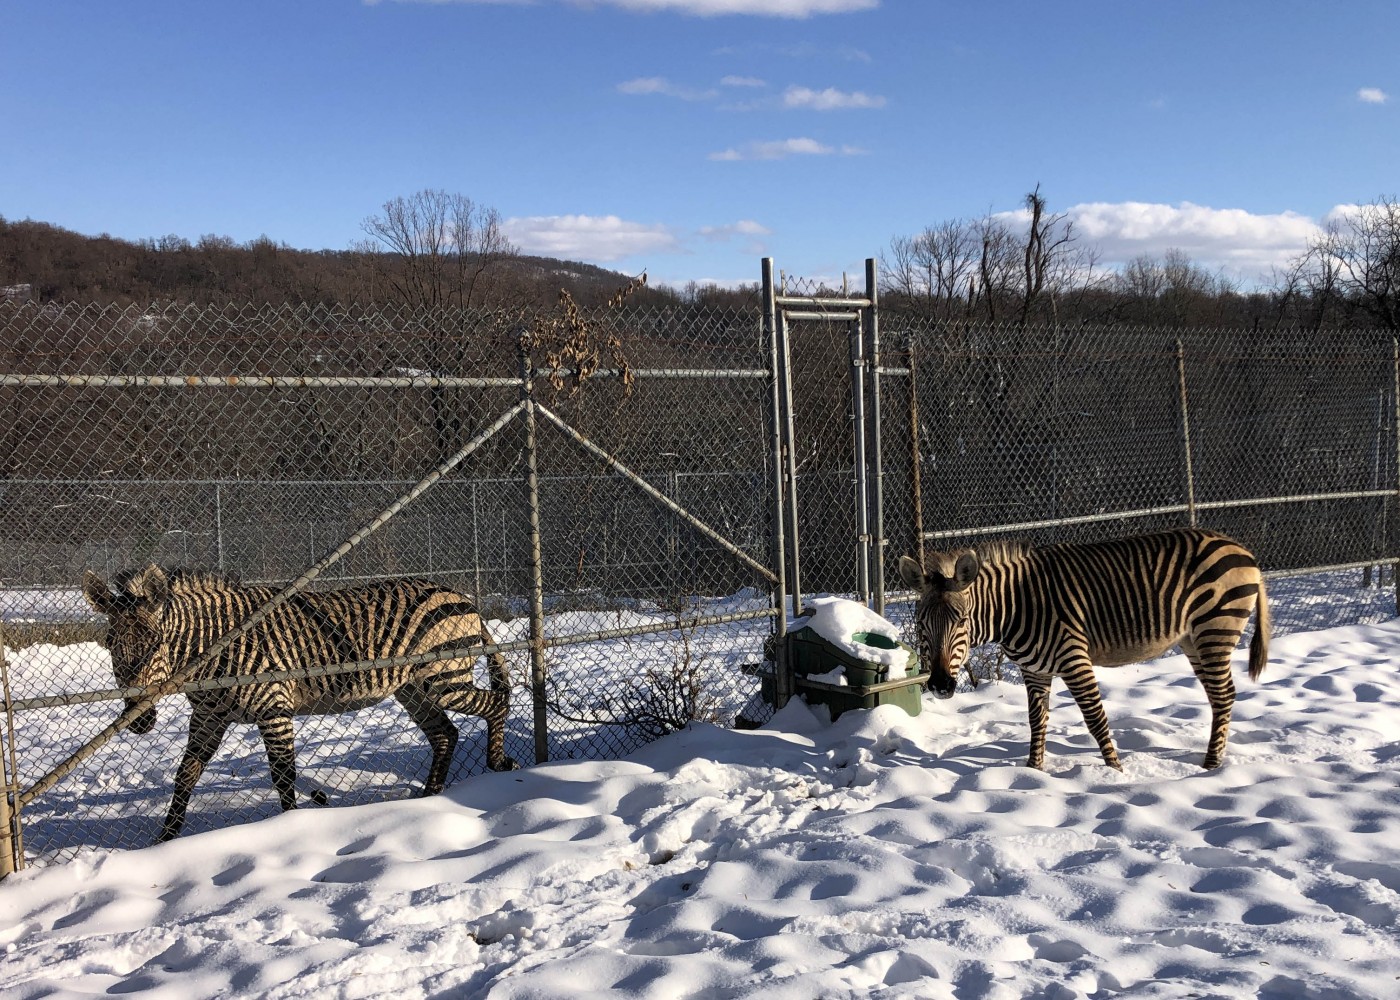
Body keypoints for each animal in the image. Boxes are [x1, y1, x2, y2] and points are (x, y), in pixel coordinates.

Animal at [81, 565, 520, 834]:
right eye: (110, 644)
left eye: (157, 643)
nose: (140, 721)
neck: (213, 647)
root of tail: (463, 597)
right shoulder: (209, 716)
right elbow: (185, 774)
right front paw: (166, 839)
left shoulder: (274, 708)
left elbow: (283, 775)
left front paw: (291, 827)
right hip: (412, 688)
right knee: (445, 733)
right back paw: (430, 799)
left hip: (445, 677)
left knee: (494, 704)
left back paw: (498, 763)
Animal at [901, 529, 1276, 773]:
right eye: (920, 623)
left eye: (961, 620)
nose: (940, 686)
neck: (1016, 607)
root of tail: (1241, 549)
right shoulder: (1034, 669)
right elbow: (1037, 721)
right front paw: (1033, 773)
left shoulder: (1073, 658)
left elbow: (1095, 718)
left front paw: (1116, 772)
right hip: (1193, 639)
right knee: (1218, 696)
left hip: (1215, 628)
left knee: (1224, 694)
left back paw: (1211, 767)